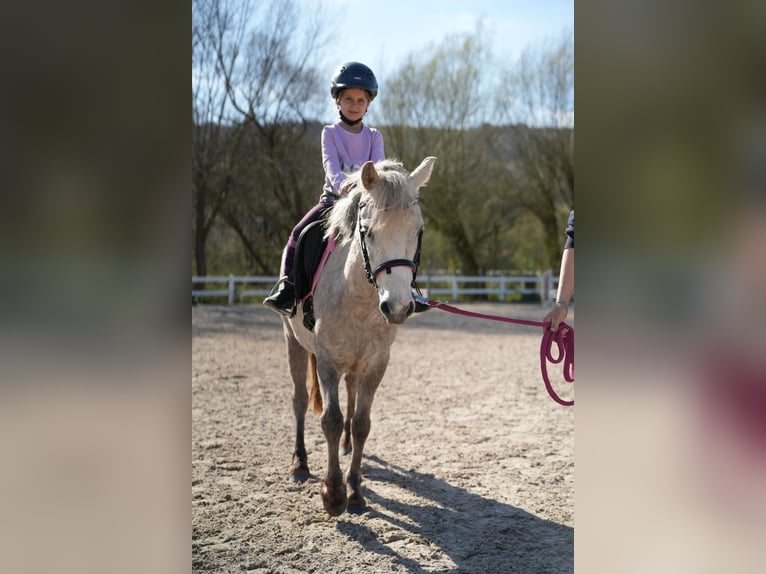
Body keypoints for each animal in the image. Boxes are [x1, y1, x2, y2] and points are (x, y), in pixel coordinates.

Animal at [276, 156, 436, 516]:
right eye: (368, 232)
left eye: (417, 231)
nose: (398, 307)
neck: (360, 297)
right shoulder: (327, 361)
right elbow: (331, 420)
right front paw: (333, 494)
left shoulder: (377, 363)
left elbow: (362, 422)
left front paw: (355, 491)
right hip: (293, 343)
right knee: (299, 399)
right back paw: (299, 464)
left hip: (355, 362)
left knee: (350, 394)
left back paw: (346, 446)